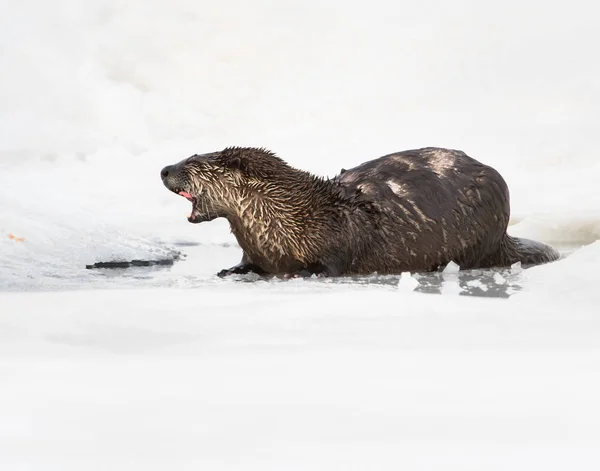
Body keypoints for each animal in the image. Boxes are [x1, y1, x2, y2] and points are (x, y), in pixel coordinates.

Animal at [161, 148, 564, 276]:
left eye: (193, 163)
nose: (164, 169)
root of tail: (503, 236)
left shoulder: (337, 243)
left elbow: (328, 266)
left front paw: (304, 273)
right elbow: (248, 264)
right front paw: (230, 270)